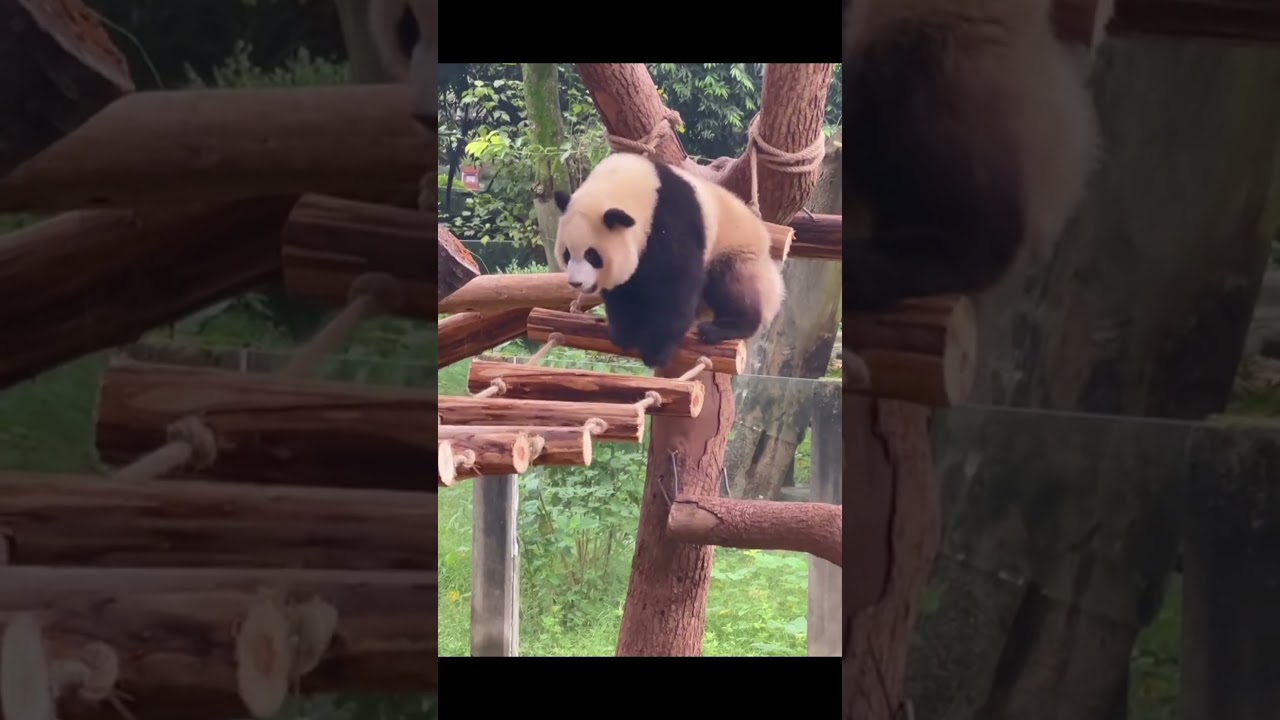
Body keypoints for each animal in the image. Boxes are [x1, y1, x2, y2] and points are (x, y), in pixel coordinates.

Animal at [553, 152, 786, 370]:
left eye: (592, 256)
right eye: (567, 254)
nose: (576, 283)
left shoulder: (672, 219)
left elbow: (675, 284)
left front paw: (655, 349)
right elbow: (625, 290)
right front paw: (625, 333)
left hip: (738, 253)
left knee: (732, 286)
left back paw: (722, 328)